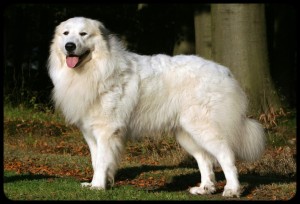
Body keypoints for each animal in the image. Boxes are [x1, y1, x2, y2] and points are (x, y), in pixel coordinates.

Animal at [48, 17, 264, 198]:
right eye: (66, 33)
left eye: (83, 34)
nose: (69, 46)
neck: (96, 69)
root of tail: (224, 71)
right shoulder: (90, 133)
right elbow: (96, 160)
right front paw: (98, 183)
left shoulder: (106, 131)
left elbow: (101, 161)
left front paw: (98, 187)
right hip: (187, 134)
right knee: (205, 159)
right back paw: (204, 188)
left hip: (204, 128)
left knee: (226, 157)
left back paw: (232, 189)